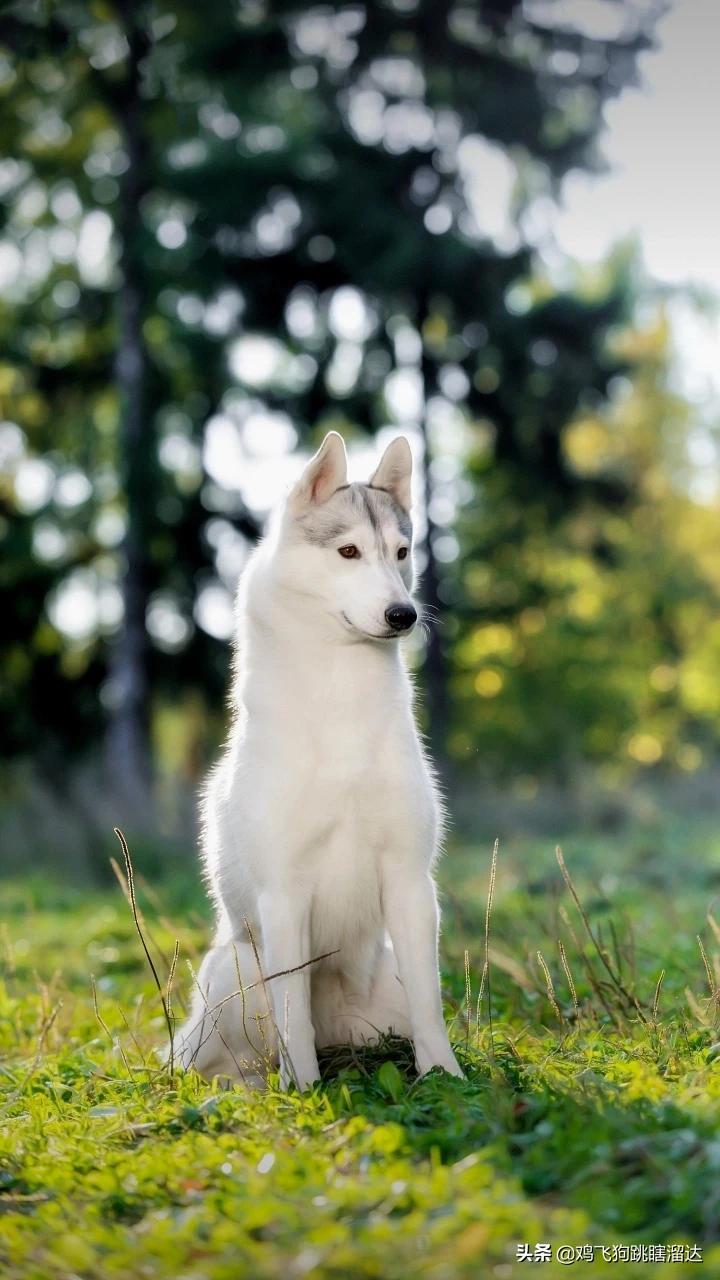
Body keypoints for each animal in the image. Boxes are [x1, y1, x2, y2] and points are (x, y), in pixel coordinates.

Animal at [176, 432, 461, 1090]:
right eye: (348, 551)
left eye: (401, 552)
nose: (404, 614)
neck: (341, 702)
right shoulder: (284, 894)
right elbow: (293, 1018)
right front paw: (303, 1091)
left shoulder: (411, 884)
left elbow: (430, 1008)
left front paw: (446, 1078)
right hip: (231, 975)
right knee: (222, 1057)